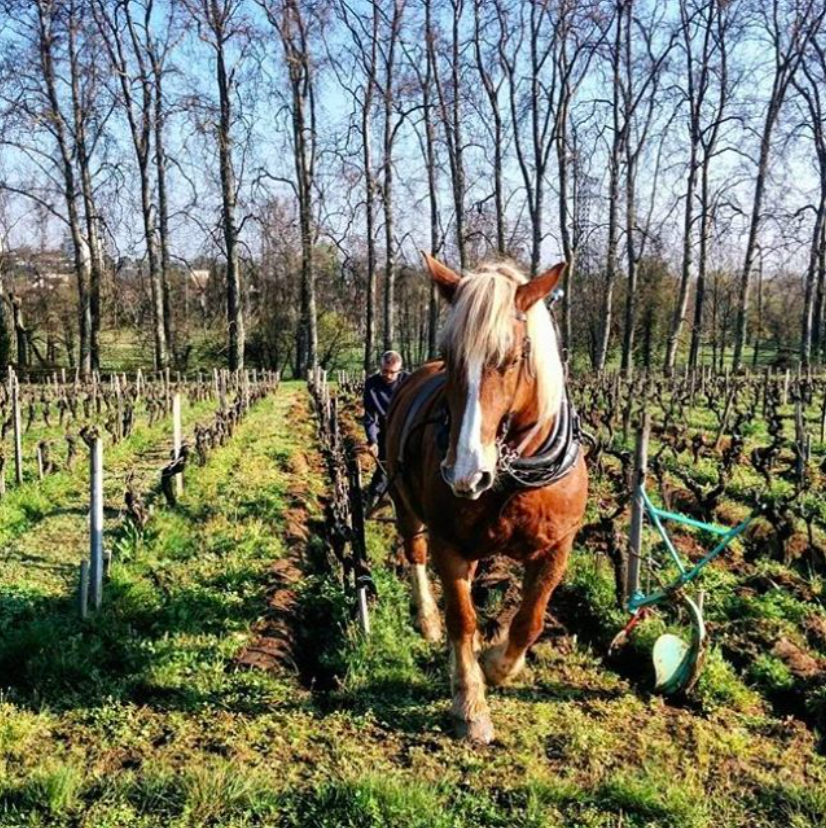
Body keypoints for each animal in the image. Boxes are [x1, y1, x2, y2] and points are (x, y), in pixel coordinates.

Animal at [384, 254, 588, 744]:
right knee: (414, 552)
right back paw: (427, 619)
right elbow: (462, 617)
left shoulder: (558, 546)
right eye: (451, 358)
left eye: (512, 358)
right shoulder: (448, 543)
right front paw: (470, 703)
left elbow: (530, 619)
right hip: (404, 503)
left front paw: (497, 665)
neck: (512, 477)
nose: (465, 473)